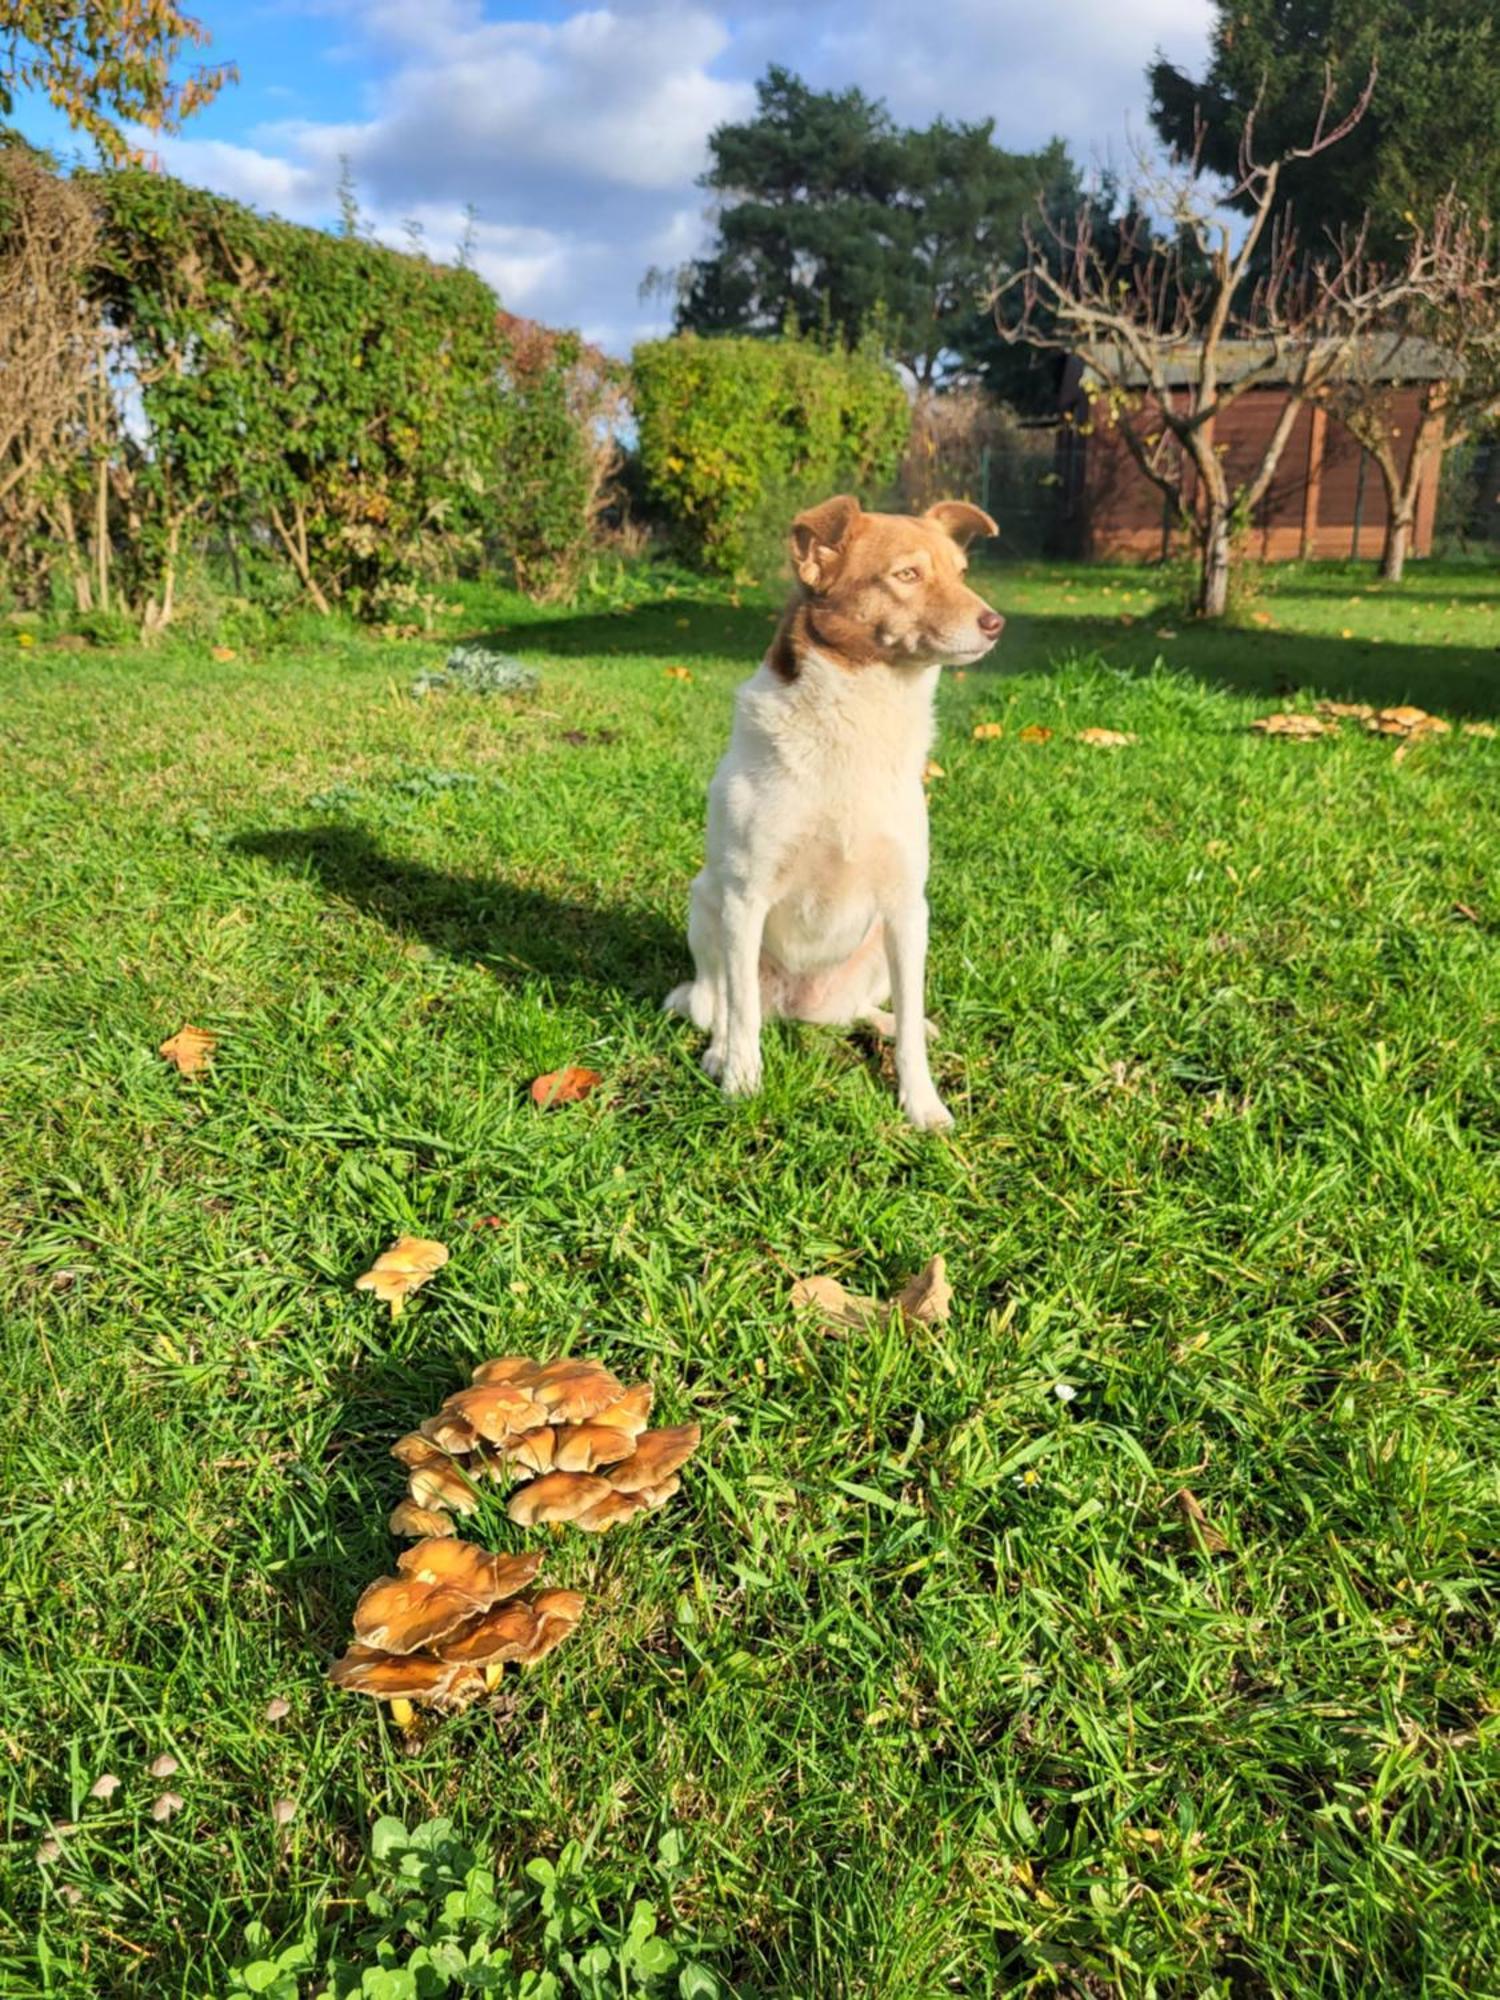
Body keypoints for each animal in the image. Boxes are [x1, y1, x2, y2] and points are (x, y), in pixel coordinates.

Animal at [664, 490, 1004, 1128]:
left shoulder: (907, 906)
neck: (861, 720)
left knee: (861, 1011)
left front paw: (922, 1104)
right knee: (724, 1004)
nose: (995, 623)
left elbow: (911, 1031)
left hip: (882, 950)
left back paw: (890, 1020)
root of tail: (800, 1007)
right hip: (708, 907)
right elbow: (741, 1013)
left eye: (961, 573)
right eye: (907, 575)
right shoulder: (745, 897)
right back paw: (720, 1051)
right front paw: (742, 1083)